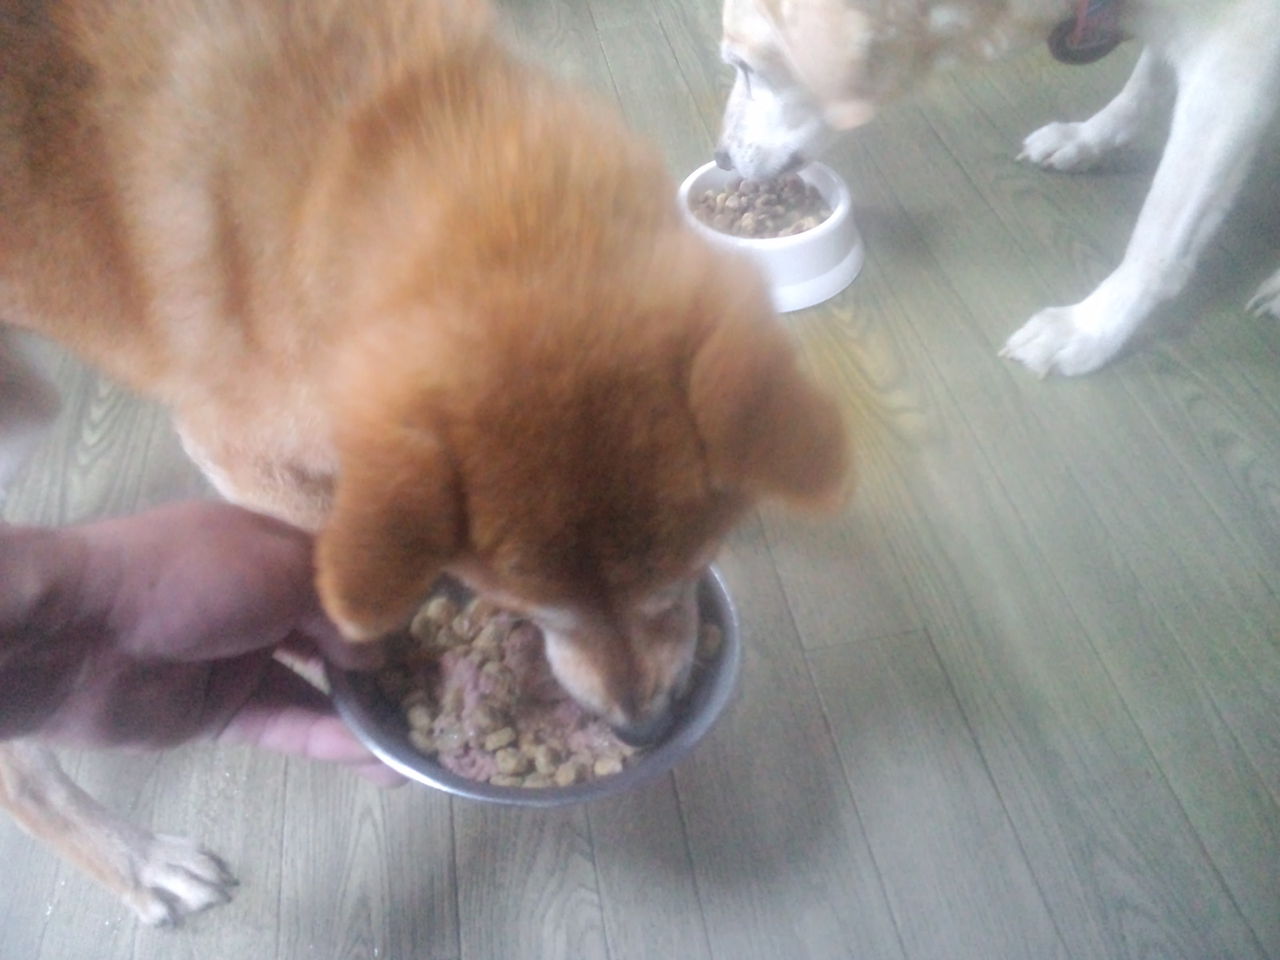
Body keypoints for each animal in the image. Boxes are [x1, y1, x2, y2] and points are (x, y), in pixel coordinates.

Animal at [715, 0, 1280, 376]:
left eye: (745, 68)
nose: (719, 157)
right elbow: (1143, 86)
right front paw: (1087, 138)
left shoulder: (1237, 64)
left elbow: (1157, 242)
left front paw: (1089, 328)